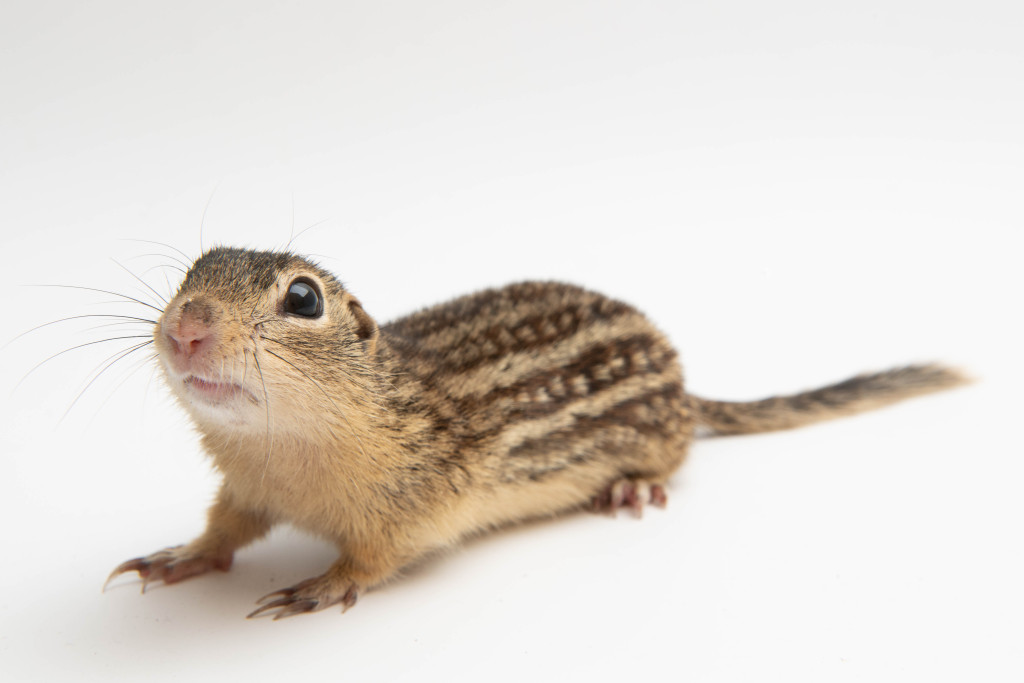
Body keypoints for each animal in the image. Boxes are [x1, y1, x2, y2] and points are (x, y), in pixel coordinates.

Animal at [103, 246, 966, 618]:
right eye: (191, 272)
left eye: (304, 299)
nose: (186, 325)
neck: (283, 452)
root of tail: (687, 390)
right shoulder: (247, 487)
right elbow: (227, 528)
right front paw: (179, 556)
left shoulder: (417, 502)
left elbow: (378, 556)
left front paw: (320, 584)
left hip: (660, 440)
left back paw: (633, 485)